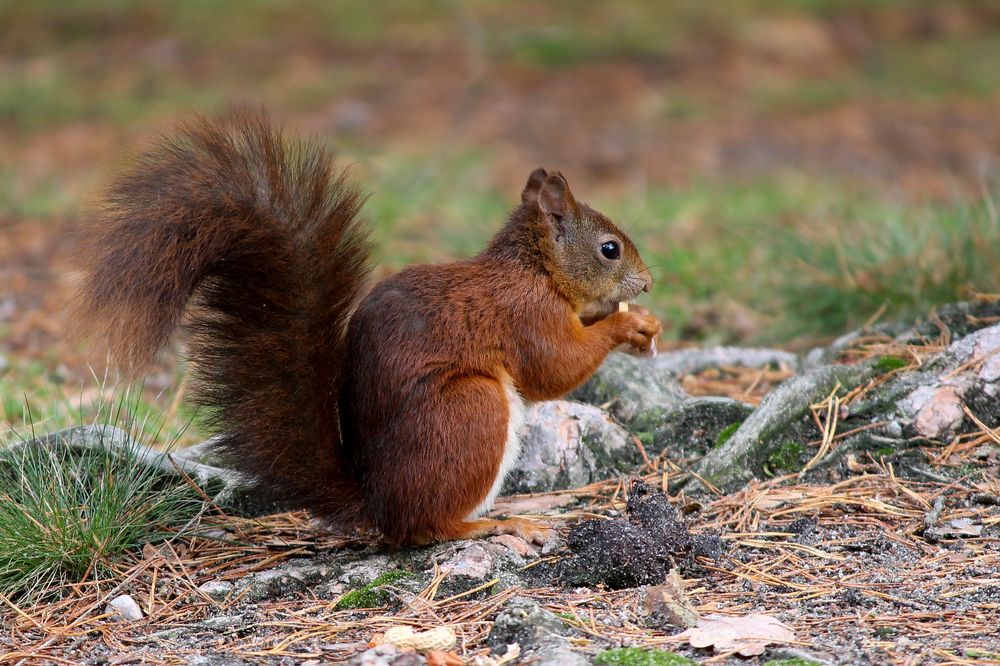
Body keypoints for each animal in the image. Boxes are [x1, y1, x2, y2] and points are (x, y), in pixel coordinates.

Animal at [72, 111, 662, 546]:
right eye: (609, 248)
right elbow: (554, 368)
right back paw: (500, 522)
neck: (534, 269)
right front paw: (625, 324)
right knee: (427, 528)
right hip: (468, 411)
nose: (649, 282)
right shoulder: (526, 315)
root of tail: (377, 504)